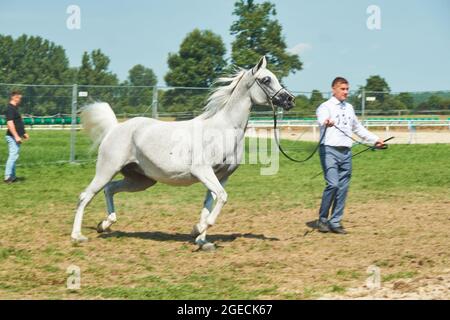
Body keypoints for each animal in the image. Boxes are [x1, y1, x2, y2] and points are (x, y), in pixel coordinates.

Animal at [70, 56, 296, 249]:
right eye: (266, 79)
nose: (290, 100)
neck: (223, 129)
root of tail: (114, 128)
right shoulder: (203, 171)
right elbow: (221, 199)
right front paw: (197, 230)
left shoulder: (221, 176)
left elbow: (209, 204)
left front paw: (202, 241)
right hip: (107, 169)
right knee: (85, 196)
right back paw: (77, 236)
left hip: (141, 179)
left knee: (109, 189)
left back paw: (104, 225)